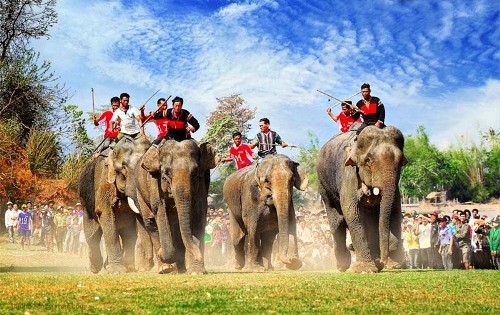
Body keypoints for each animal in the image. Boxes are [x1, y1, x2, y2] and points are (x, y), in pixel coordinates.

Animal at [78, 137, 150, 276]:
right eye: (124, 167)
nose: (146, 267)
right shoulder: (104, 180)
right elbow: (105, 214)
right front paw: (117, 271)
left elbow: (130, 232)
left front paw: (128, 268)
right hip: (86, 204)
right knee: (92, 235)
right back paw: (95, 267)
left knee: (127, 232)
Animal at [133, 139, 217, 276]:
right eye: (166, 173)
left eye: (195, 172)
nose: (198, 255)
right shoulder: (154, 181)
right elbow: (159, 212)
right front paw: (163, 256)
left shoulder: (202, 182)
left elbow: (198, 214)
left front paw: (196, 272)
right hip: (139, 192)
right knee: (151, 222)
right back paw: (165, 268)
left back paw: (180, 269)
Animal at [318, 126, 408, 274]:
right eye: (368, 160)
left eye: (401, 162)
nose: (383, 261)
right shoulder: (349, 174)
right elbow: (352, 213)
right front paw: (366, 269)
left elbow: (394, 211)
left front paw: (393, 264)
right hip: (324, 187)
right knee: (337, 221)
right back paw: (342, 265)